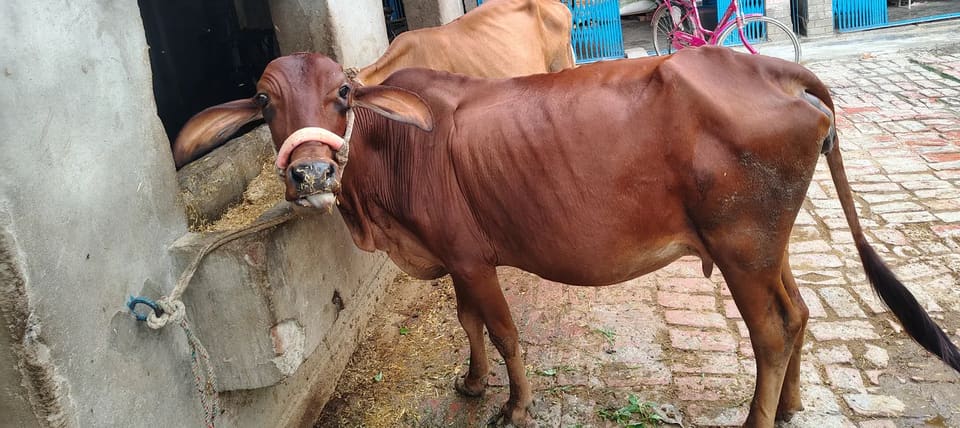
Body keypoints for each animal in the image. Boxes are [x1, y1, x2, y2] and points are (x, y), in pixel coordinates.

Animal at [172, 49, 960, 426]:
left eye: (343, 94)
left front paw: (514, 405)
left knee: (770, 332)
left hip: (740, 246)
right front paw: (471, 382)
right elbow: (469, 324)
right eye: (265, 100)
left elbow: (504, 330)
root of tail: (773, 67)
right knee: (798, 315)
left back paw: (756, 421)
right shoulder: (456, 259)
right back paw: (792, 405)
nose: (309, 171)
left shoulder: (468, 256)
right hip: (768, 246)